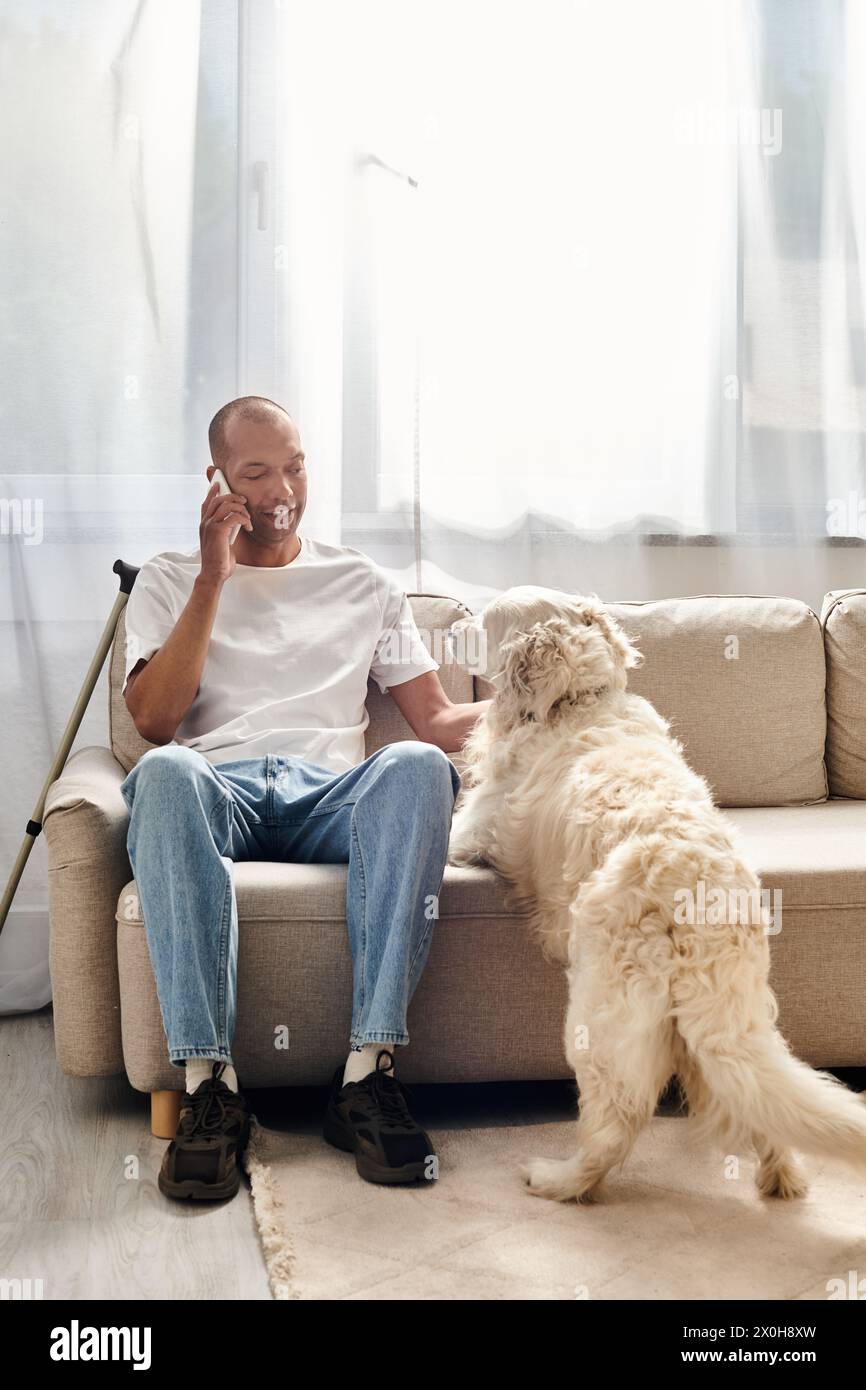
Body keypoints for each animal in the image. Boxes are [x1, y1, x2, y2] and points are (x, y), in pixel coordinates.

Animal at [447, 586, 866, 1206]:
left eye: (484, 620)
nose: (449, 633)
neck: (577, 699)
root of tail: (697, 891)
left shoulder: (471, 832)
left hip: (598, 1015)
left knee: (615, 1123)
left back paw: (555, 1178)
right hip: (731, 1017)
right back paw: (779, 1177)